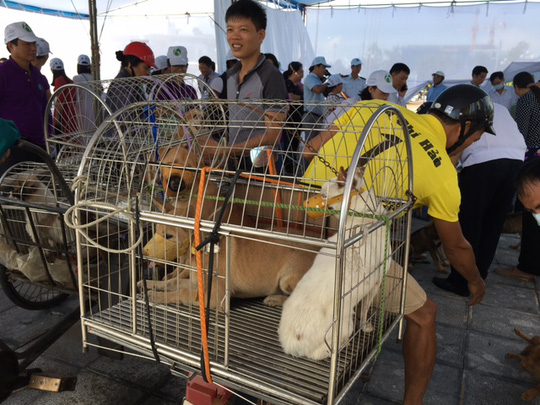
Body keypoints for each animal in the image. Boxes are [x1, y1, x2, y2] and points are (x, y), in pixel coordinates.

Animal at [278, 167, 388, 360]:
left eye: (323, 194)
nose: (306, 204)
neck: (362, 221)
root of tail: (293, 342)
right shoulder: (376, 283)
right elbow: (364, 311)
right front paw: (365, 326)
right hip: (344, 325)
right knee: (322, 352)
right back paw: (342, 344)